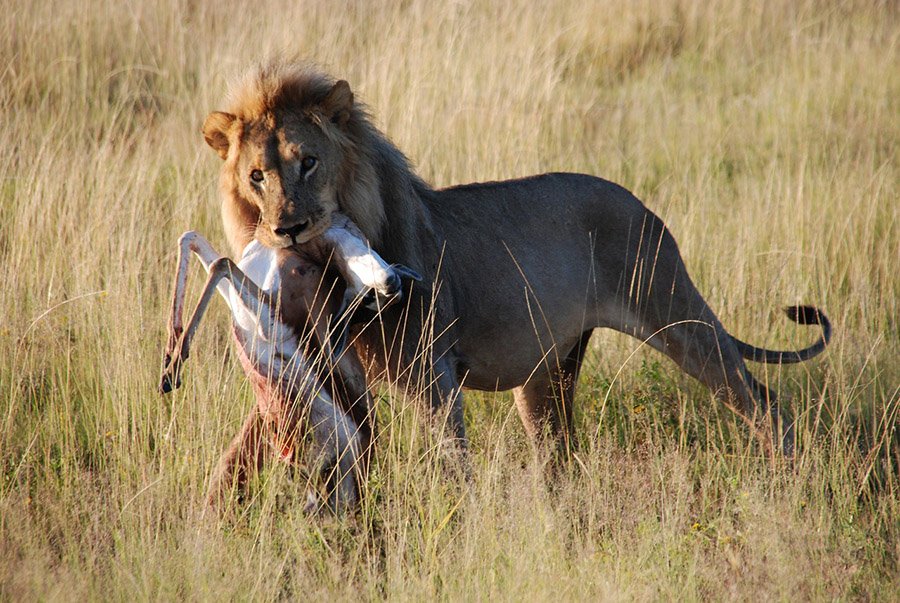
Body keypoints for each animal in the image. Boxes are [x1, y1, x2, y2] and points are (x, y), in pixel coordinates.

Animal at [201, 61, 831, 456]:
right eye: (257, 176)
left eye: (308, 162)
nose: (286, 229)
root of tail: (642, 205)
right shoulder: (340, 373)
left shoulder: (435, 378)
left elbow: (450, 467)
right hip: (549, 373)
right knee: (560, 455)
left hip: (675, 312)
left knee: (762, 401)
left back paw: (787, 480)